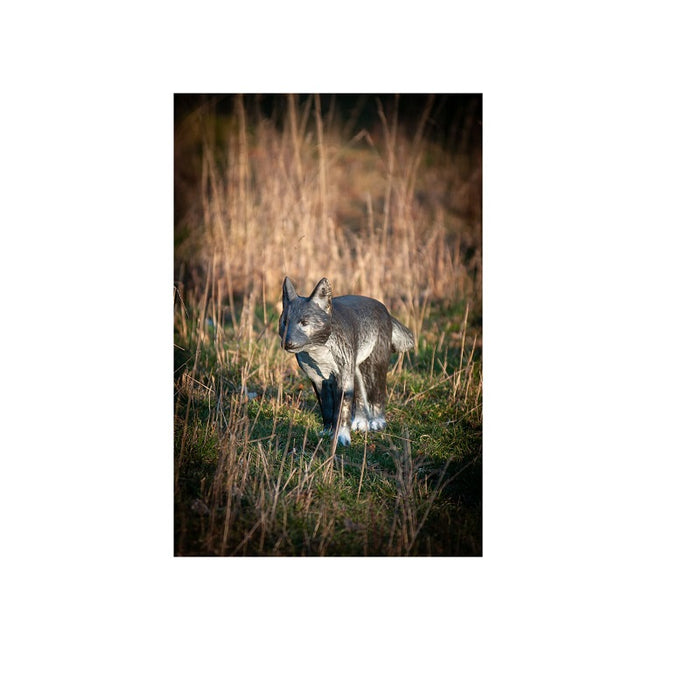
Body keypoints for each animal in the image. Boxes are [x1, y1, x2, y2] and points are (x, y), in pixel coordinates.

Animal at [279, 277, 414, 446]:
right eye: (285, 322)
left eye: (304, 322)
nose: (288, 343)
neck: (320, 353)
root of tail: (384, 309)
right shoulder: (318, 380)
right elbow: (327, 410)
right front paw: (328, 432)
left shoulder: (343, 378)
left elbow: (342, 410)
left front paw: (341, 436)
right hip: (356, 371)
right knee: (361, 399)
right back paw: (360, 422)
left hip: (373, 369)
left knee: (377, 395)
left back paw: (377, 421)